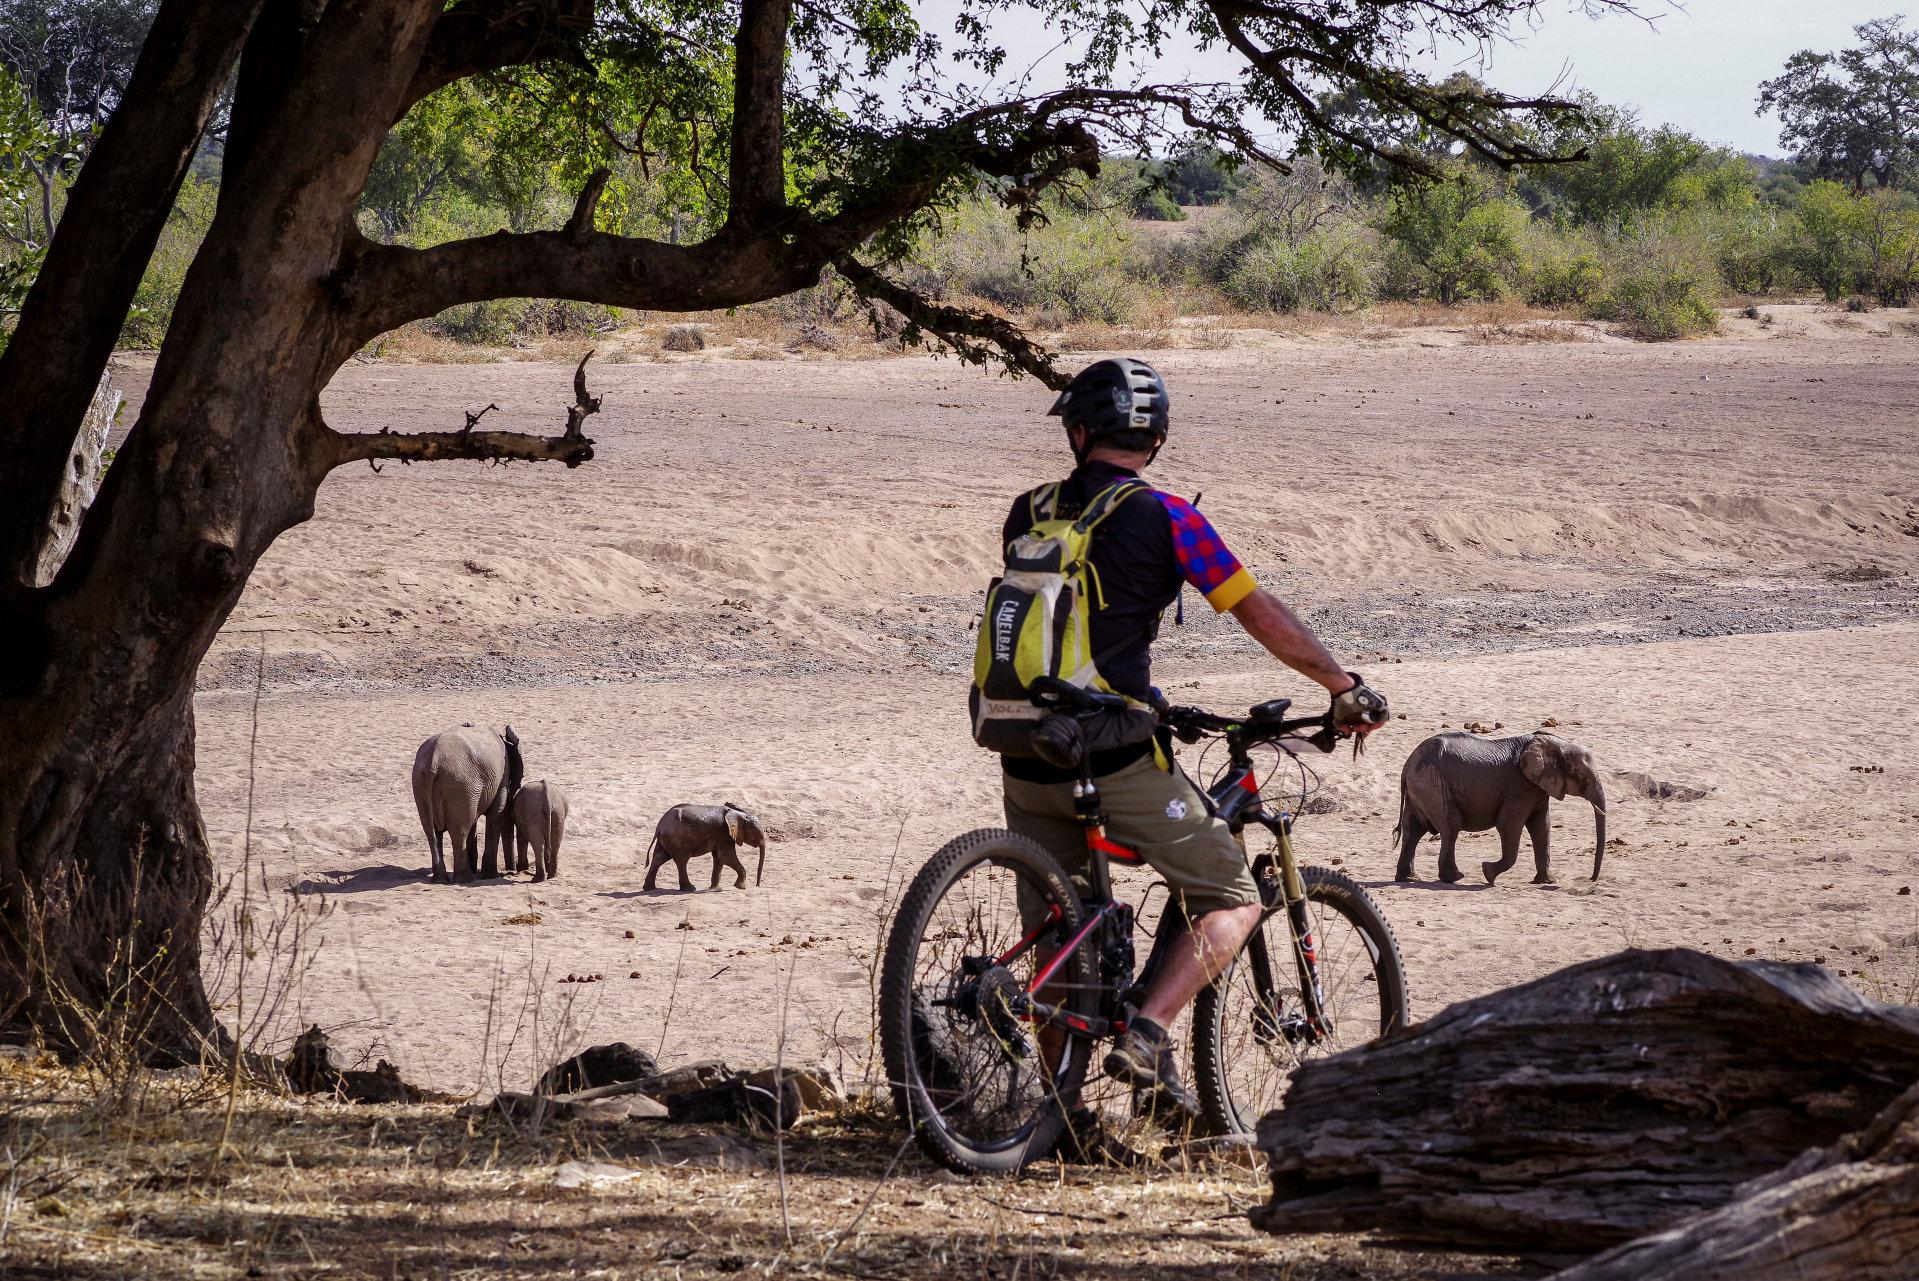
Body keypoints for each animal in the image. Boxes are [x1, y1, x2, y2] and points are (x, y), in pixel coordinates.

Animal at [410, 724, 521, 885]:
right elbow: (495, 814)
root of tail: (433, 762)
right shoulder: (501, 777)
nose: (512, 871)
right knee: (459, 831)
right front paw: (491, 876)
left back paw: (441, 880)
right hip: (460, 784)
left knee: (432, 832)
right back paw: (466, 879)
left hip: (423, 783)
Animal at [1397, 724, 1604, 885]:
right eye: (1585, 777)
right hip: (1432, 785)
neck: (1554, 743)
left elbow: (1542, 826)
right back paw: (1454, 877)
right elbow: (1508, 826)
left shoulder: (1537, 788)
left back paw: (1409, 879)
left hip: (1422, 787)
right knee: (1450, 826)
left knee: (1413, 830)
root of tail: (1406, 766)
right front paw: (1488, 873)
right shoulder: (1518, 787)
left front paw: (1547, 881)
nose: (1591, 879)